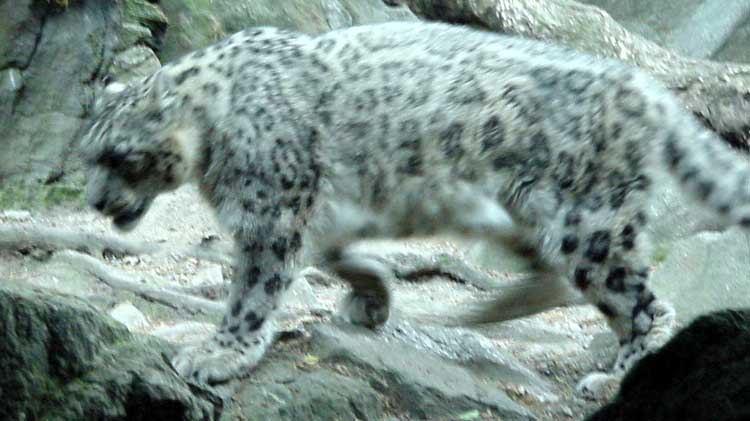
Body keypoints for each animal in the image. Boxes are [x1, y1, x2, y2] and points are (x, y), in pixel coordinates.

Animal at [80, 21, 747, 398]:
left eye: (118, 157)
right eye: (87, 155)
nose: (93, 200)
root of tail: (644, 86)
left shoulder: (269, 215)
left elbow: (253, 289)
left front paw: (219, 352)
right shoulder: (318, 212)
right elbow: (334, 253)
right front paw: (372, 297)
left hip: (589, 224)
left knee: (644, 303)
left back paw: (618, 375)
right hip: (525, 212)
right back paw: (497, 308)